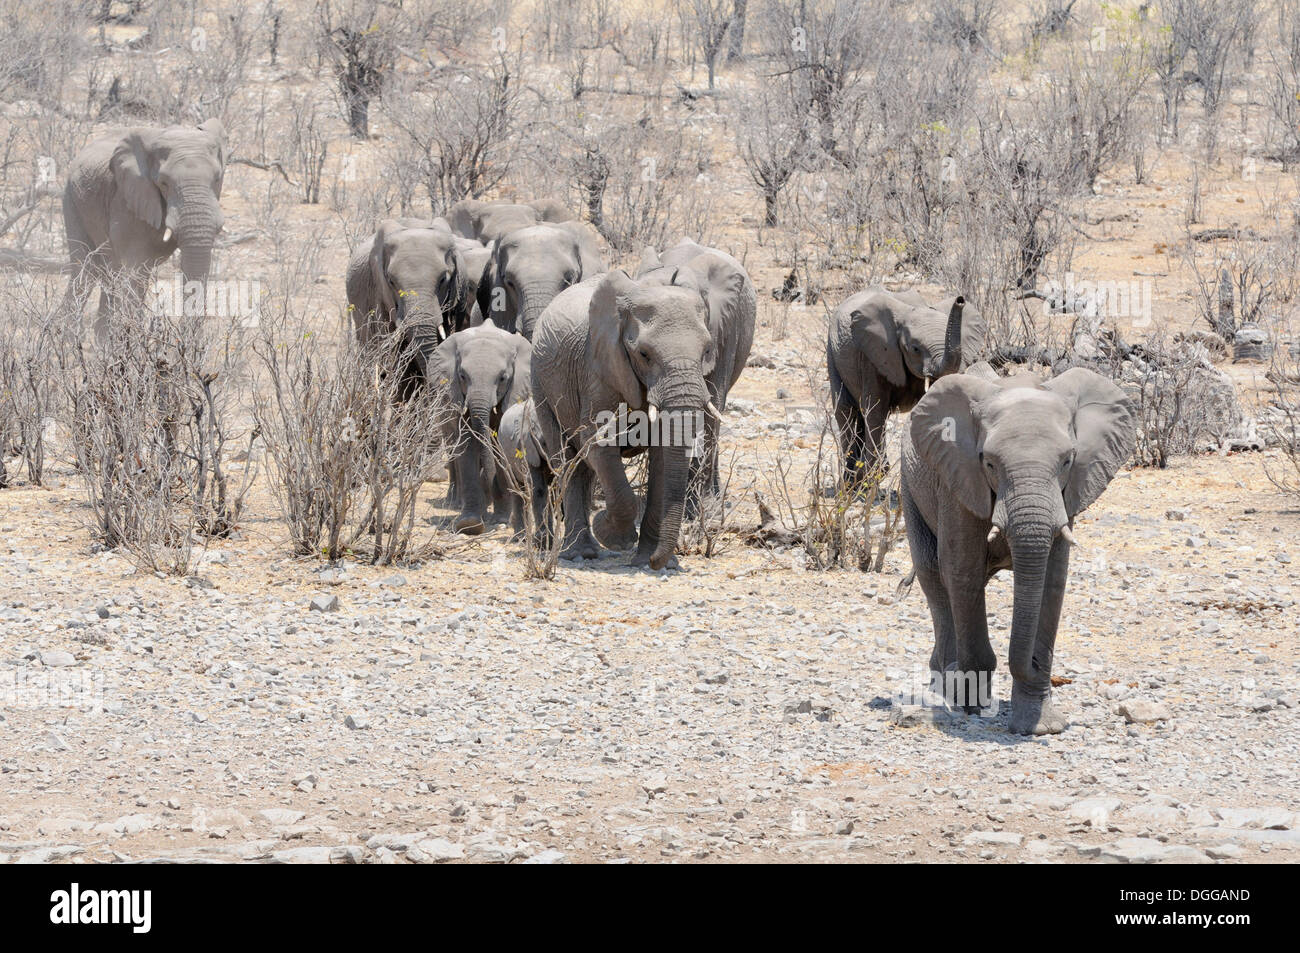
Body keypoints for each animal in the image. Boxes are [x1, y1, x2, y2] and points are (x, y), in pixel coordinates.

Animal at [62, 119, 226, 338]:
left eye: (217, 178)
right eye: (164, 183)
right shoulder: (128, 199)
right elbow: (135, 274)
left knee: (109, 274)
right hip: (72, 200)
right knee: (85, 271)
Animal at [428, 322, 532, 534]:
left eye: (503, 378)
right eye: (462, 376)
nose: (491, 486)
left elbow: (499, 446)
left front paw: (500, 520)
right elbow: (466, 443)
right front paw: (470, 524)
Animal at [531, 268, 727, 569]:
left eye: (707, 350)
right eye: (644, 354)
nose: (659, 561)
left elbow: (663, 458)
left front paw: (648, 560)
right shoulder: (598, 370)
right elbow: (598, 441)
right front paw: (613, 536)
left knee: (583, 467)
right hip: (540, 383)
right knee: (566, 459)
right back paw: (580, 553)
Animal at [827, 287, 986, 484]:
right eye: (915, 349)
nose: (960, 300)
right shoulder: (872, 356)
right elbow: (875, 409)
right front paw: (870, 478)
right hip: (832, 351)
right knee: (846, 410)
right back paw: (851, 481)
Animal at [901, 368, 1136, 735]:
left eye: (1067, 461)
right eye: (989, 463)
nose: (1035, 664)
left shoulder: (1066, 496)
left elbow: (1052, 581)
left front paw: (1041, 727)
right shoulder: (958, 480)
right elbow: (962, 569)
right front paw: (971, 704)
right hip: (910, 483)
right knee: (932, 573)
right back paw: (946, 684)